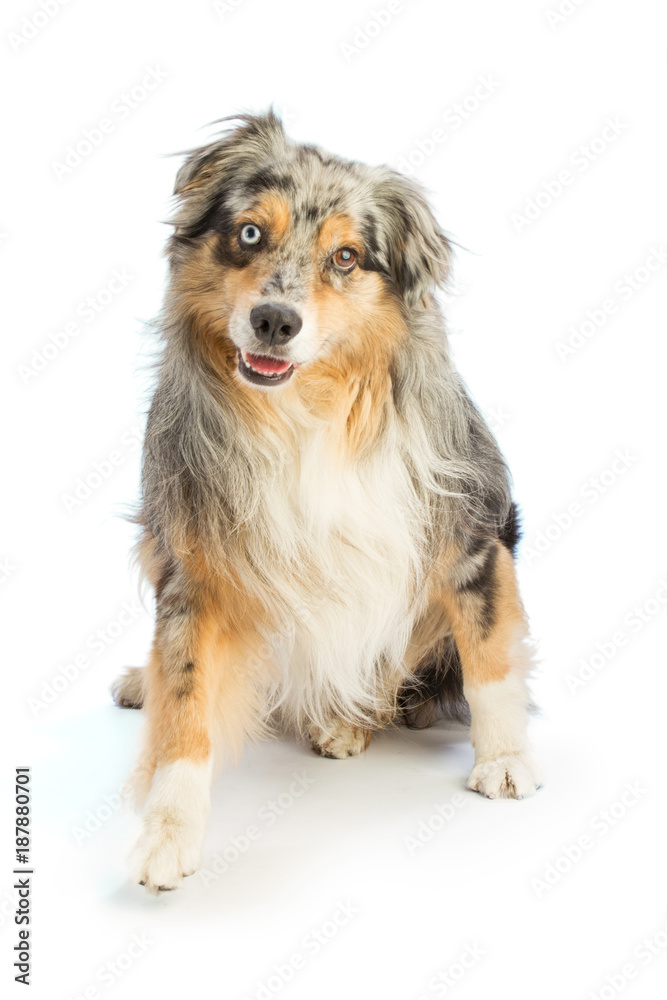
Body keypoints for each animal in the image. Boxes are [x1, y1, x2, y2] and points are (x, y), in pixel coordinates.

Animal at [112, 109, 544, 892]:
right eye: (250, 232)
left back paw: (346, 720)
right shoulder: (192, 571)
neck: (304, 412)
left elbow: (490, 661)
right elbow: (185, 705)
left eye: (345, 257)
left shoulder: (473, 534)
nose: (274, 321)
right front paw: (167, 831)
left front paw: (504, 759)